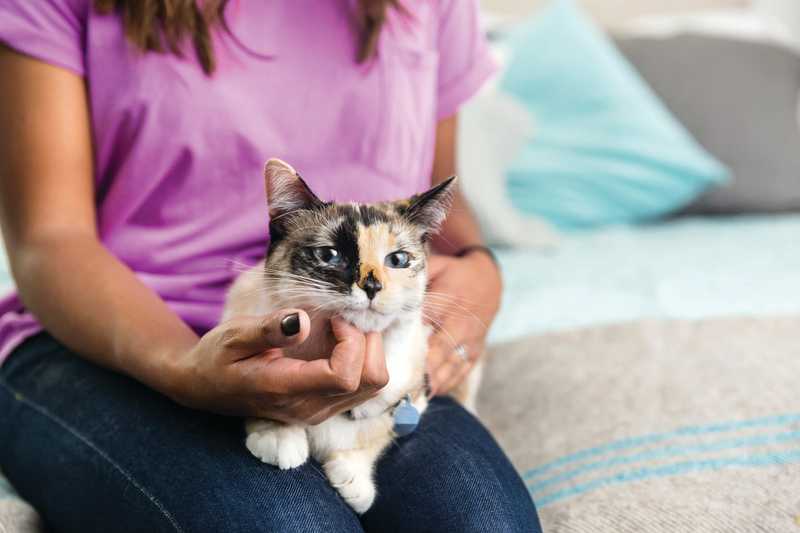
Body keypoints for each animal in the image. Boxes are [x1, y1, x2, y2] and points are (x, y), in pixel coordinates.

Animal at [222, 158, 478, 512]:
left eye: (398, 259)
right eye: (330, 255)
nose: (371, 286)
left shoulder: (412, 391)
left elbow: (377, 434)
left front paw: (354, 480)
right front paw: (278, 438)